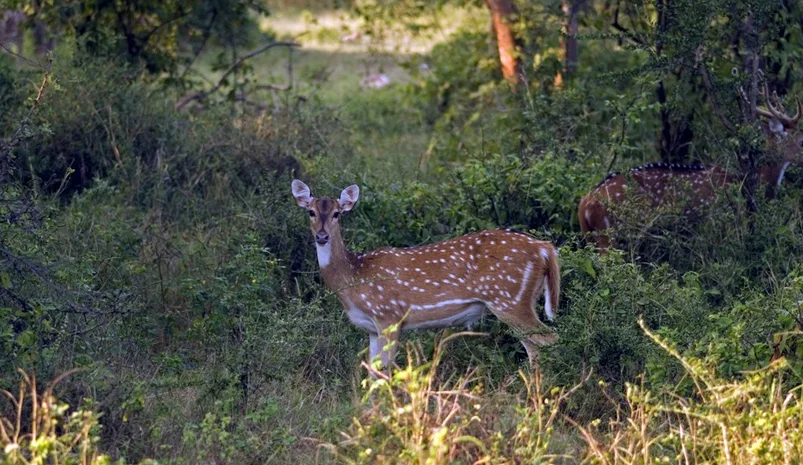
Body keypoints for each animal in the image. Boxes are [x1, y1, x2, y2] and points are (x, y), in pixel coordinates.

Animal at [292, 179, 564, 368]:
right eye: (311, 212)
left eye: (337, 213)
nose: (322, 236)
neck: (354, 276)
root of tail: (544, 249)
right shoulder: (371, 328)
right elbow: (372, 371)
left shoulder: (389, 315)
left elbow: (386, 371)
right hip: (520, 300)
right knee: (535, 348)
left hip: (509, 299)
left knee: (551, 339)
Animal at [576, 84, 803, 250]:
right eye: (801, 140)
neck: (746, 183)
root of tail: (585, 203)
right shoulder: (716, 224)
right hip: (610, 233)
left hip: (590, 237)